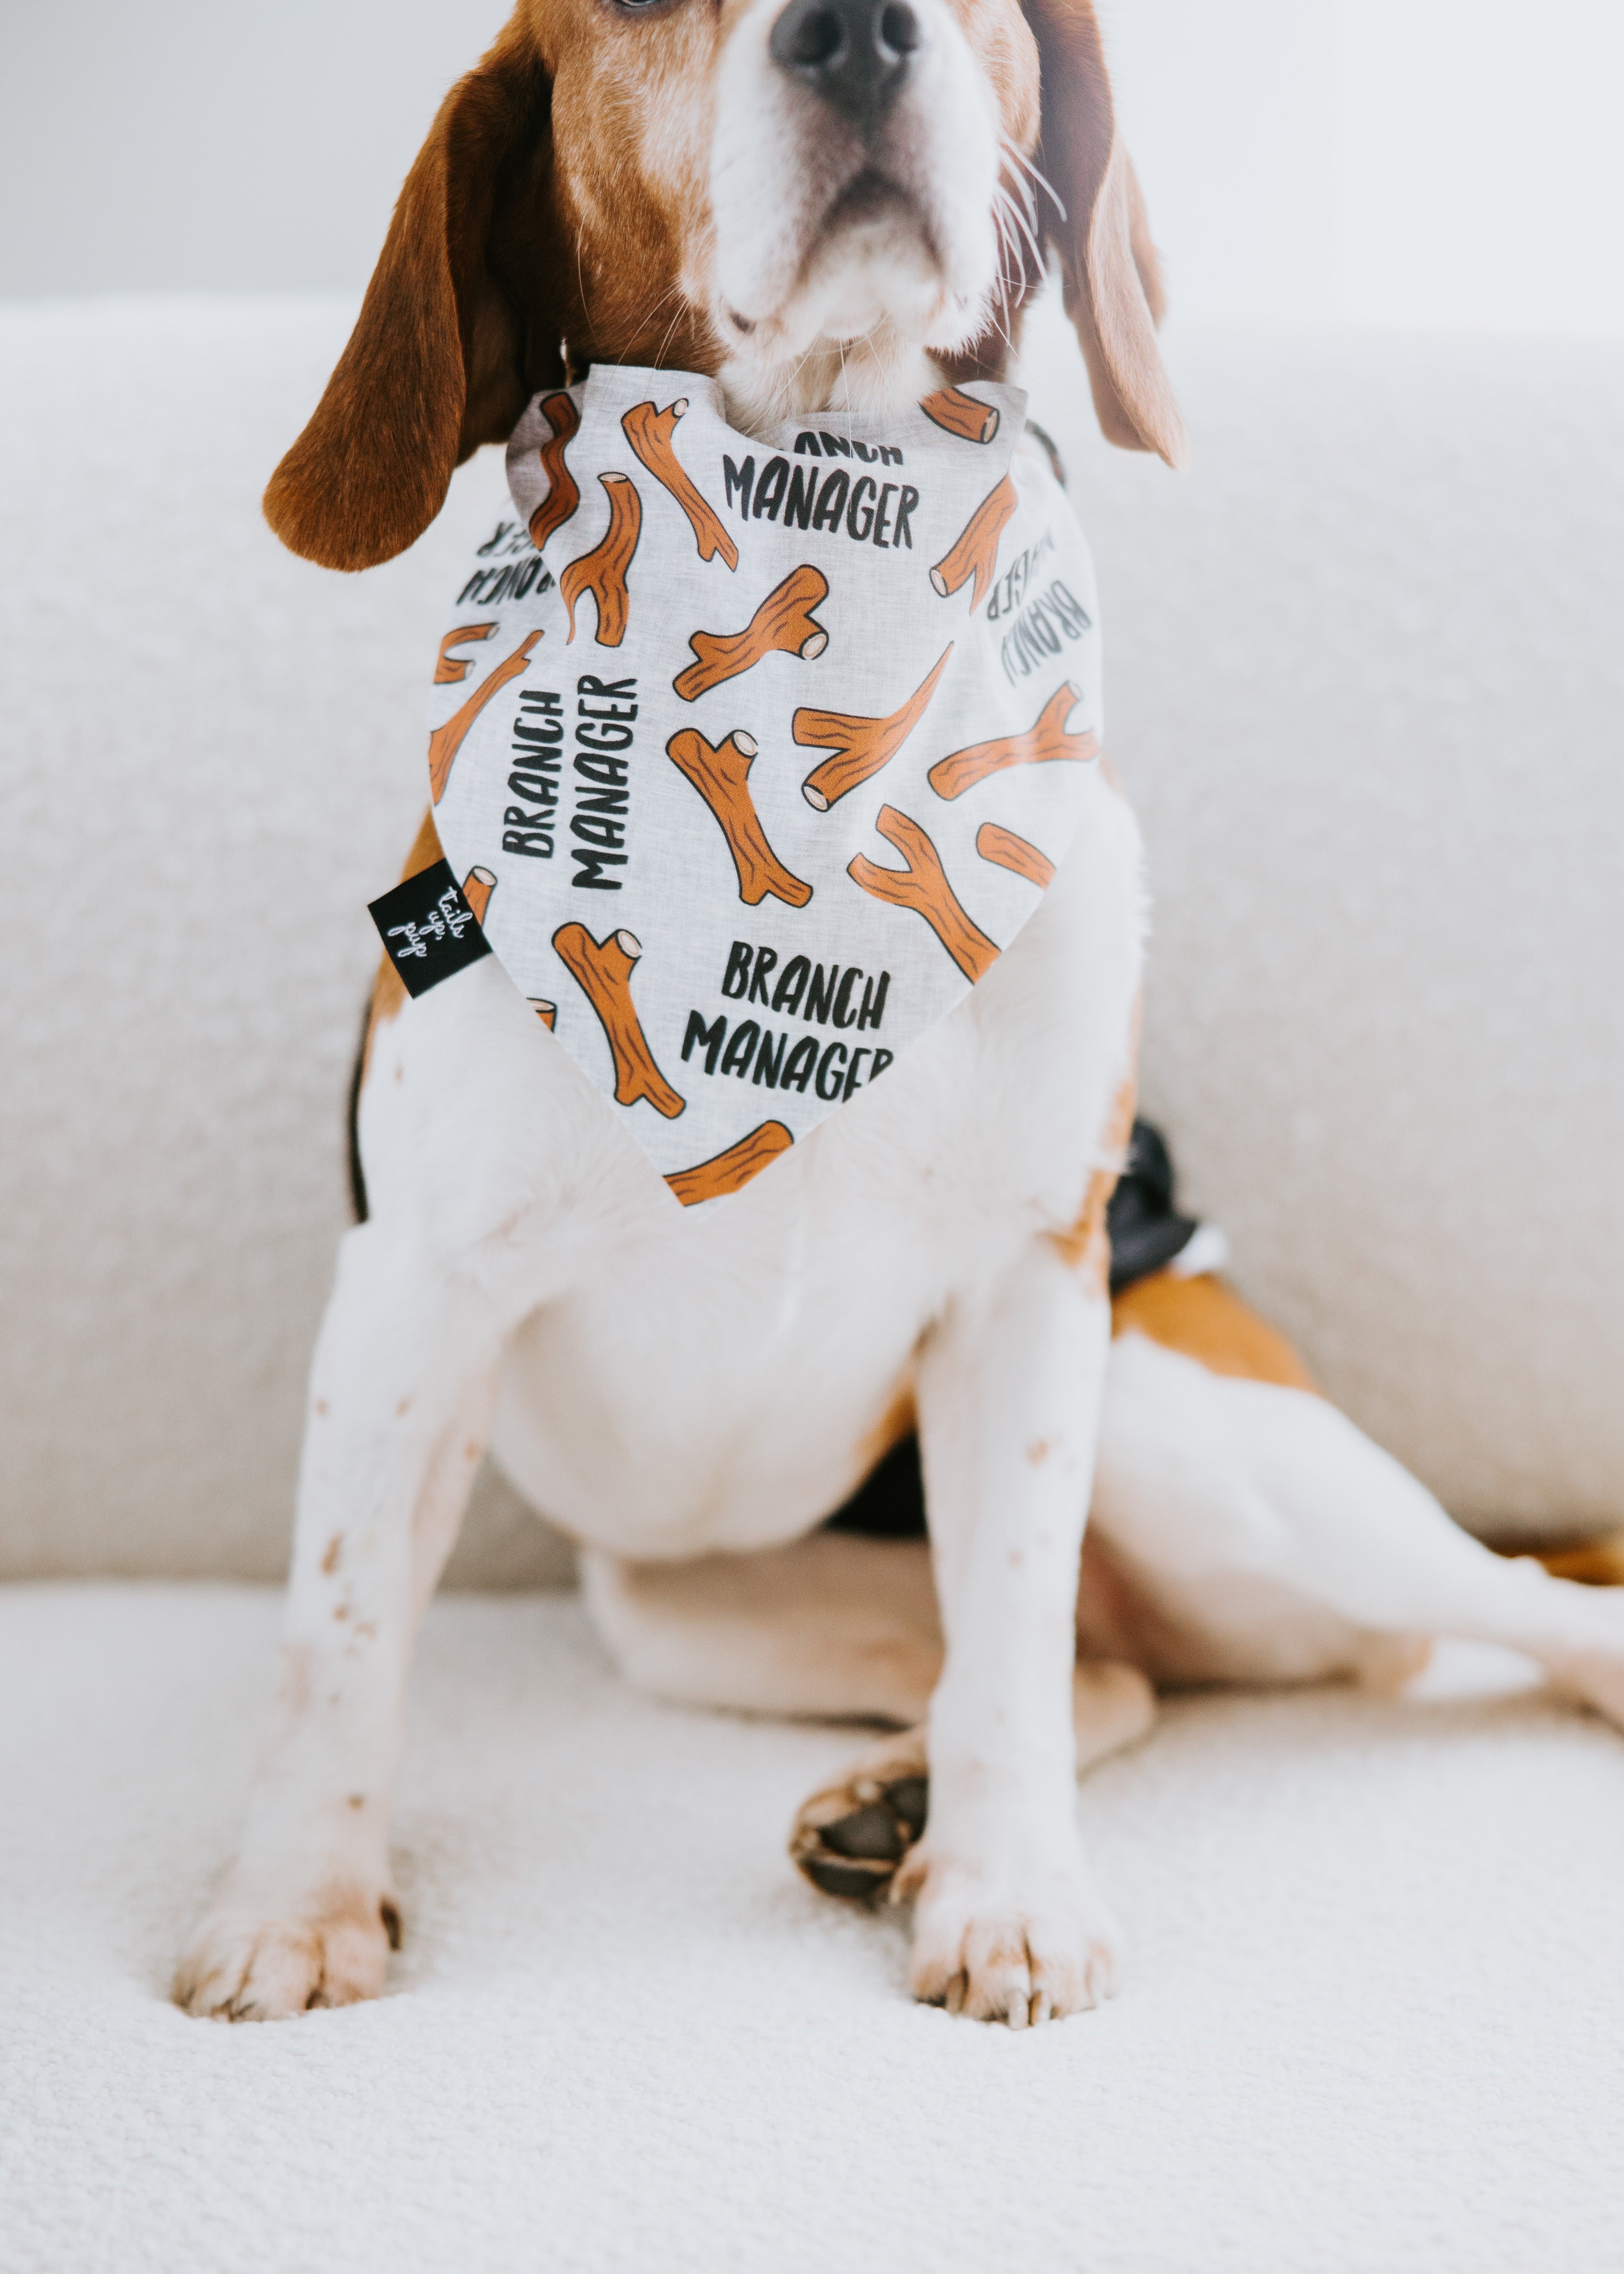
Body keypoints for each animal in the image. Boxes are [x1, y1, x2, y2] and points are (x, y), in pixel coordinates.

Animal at [174, 0, 1619, 2028]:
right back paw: (889, 1800)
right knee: (1114, 1669)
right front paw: (295, 1900)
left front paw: (1008, 1893)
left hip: (1197, 1433)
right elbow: (340, 1626)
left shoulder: (1026, 1282)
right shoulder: (413, 1297)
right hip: (684, 1601)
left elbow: (1005, 1620)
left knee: (1494, 1616)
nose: (856, 28)